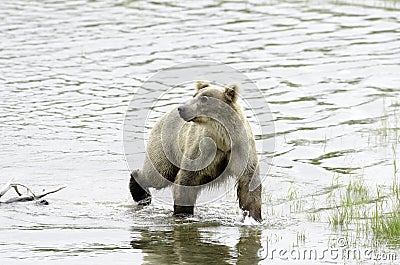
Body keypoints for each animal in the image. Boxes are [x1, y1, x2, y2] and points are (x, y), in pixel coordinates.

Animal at [130, 80, 264, 221]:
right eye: (194, 95)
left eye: (204, 99)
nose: (182, 108)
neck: (224, 140)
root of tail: (164, 115)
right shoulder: (202, 150)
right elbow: (186, 179)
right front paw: (183, 212)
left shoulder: (241, 150)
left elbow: (249, 184)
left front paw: (254, 217)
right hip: (166, 147)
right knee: (158, 174)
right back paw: (140, 193)